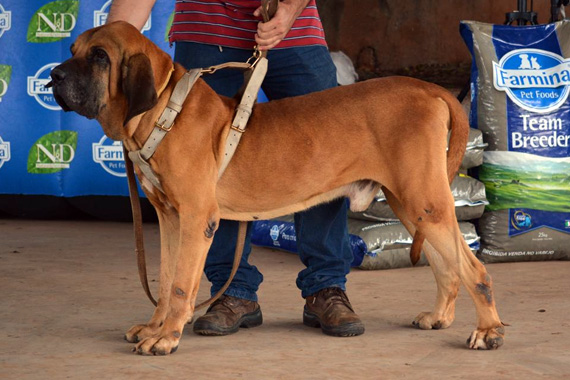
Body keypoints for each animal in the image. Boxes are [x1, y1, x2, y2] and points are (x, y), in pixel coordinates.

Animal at [47, 22, 502, 354]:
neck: (164, 111)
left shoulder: (196, 218)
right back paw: (439, 317)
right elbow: (163, 281)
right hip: (412, 205)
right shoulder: (170, 218)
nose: (53, 76)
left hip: (423, 200)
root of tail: (430, 88)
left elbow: (179, 285)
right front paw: (154, 326)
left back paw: (489, 331)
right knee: (448, 267)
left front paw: (167, 336)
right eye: (72, 49)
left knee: (475, 270)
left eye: (100, 57)